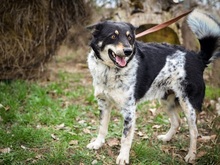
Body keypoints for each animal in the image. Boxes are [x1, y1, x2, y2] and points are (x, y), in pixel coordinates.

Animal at [86, 9, 220, 164]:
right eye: (113, 36)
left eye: (130, 38)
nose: (128, 51)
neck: (109, 71)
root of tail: (198, 58)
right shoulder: (103, 103)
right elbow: (102, 127)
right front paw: (97, 144)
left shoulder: (129, 110)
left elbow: (125, 137)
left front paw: (123, 157)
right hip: (166, 100)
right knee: (177, 121)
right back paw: (166, 138)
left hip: (188, 105)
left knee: (194, 131)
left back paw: (191, 155)